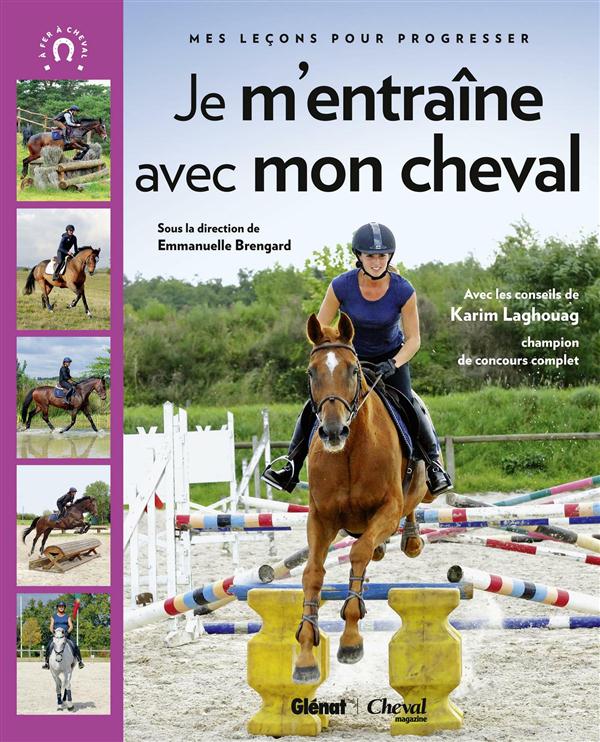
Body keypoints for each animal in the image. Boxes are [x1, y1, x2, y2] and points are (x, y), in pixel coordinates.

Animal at [293, 312, 431, 683]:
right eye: (312, 373)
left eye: (353, 371)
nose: (332, 431)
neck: (350, 451)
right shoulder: (321, 517)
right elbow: (313, 572)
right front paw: (306, 652)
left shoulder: (388, 509)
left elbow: (358, 553)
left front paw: (351, 639)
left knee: (404, 517)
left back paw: (411, 540)